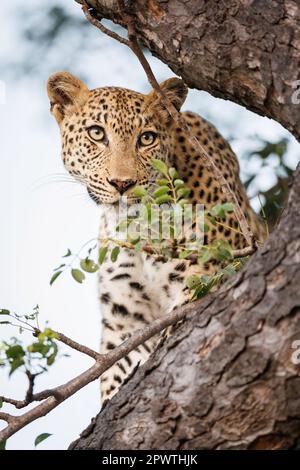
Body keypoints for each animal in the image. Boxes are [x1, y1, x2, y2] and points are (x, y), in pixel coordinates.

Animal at [46, 71, 264, 402]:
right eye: (97, 133)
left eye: (146, 138)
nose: (122, 183)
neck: (138, 224)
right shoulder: (125, 316)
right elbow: (118, 372)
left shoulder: (206, 275)